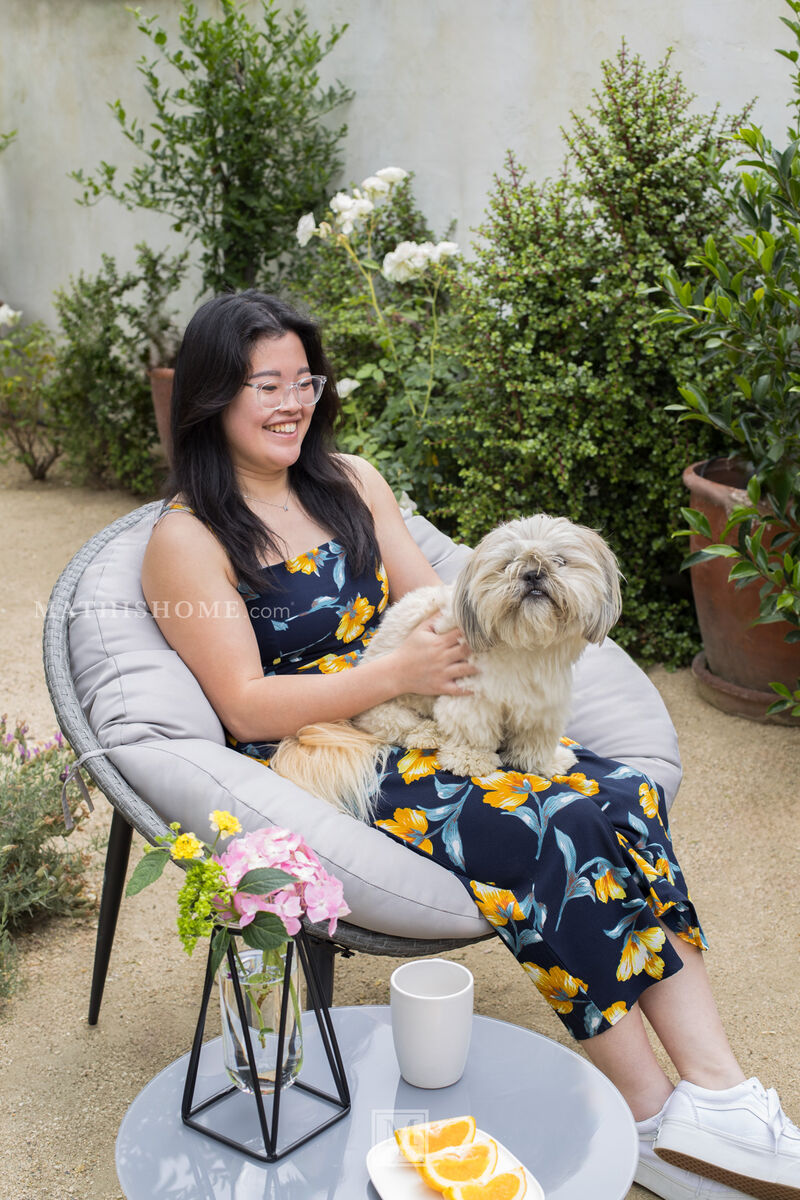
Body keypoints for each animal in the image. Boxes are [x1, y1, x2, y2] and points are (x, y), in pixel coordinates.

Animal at [272, 511, 623, 820]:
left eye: (560, 561)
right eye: (507, 564)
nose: (533, 573)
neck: (525, 647)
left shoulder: (542, 706)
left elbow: (535, 742)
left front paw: (546, 763)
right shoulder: (469, 698)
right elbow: (473, 732)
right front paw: (470, 759)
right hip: (383, 705)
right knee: (400, 726)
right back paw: (427, 734)